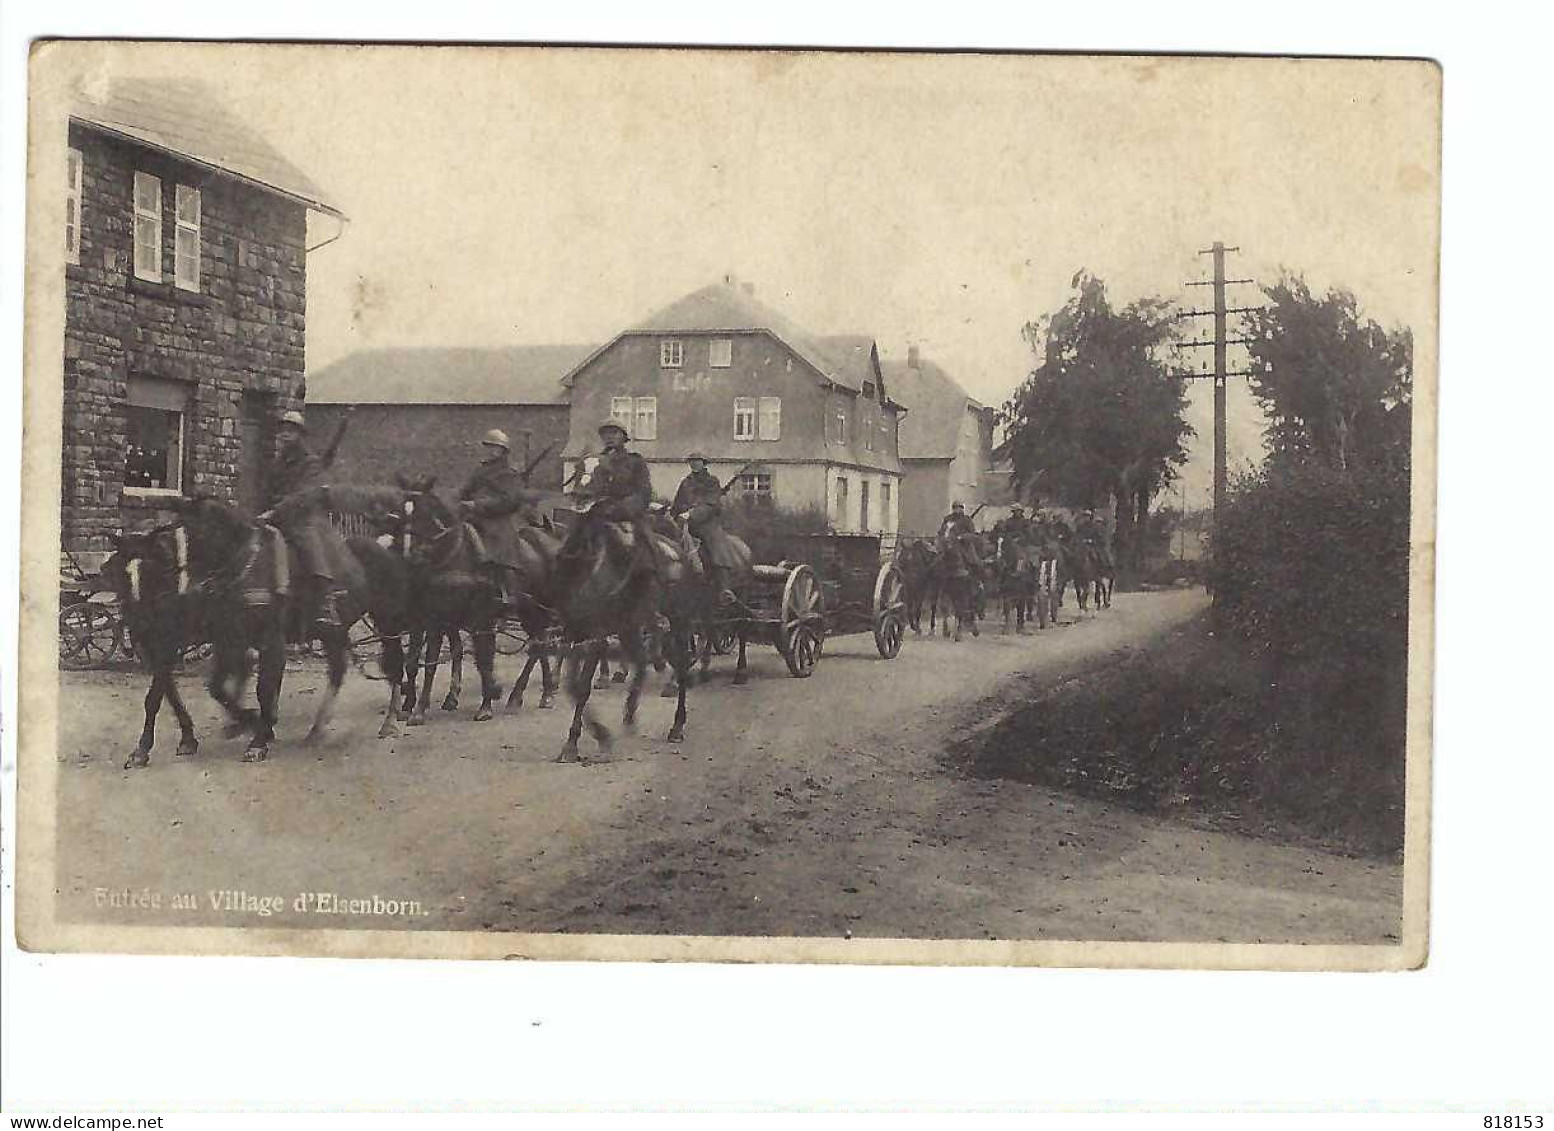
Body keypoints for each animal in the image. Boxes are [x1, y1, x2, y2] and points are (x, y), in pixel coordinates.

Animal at [105, 490, 416, 764]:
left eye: (152, 567)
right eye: (117, 571)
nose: (137, 623)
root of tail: (383, 546)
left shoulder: (266, 640)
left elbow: (262, 688)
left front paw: (258, 737)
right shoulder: (209, 640)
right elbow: (188, 691)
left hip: (386, 621)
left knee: (394, 665)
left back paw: (390, 721)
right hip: (334, 632)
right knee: (339, 670)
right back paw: (315, 729)